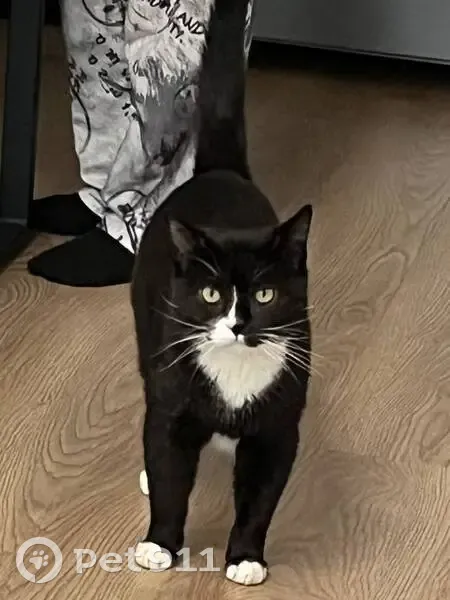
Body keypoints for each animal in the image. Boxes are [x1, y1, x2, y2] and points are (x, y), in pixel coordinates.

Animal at [130, 0, 313, 587]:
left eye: (267, 295)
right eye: (212, 295)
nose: (237, 324)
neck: (234, 377)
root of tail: (221, 173)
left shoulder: (278, 428)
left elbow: (260, 498)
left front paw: (246, 558)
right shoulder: (173, 408)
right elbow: (169, 474)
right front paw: (159, 545)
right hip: (148, 338)